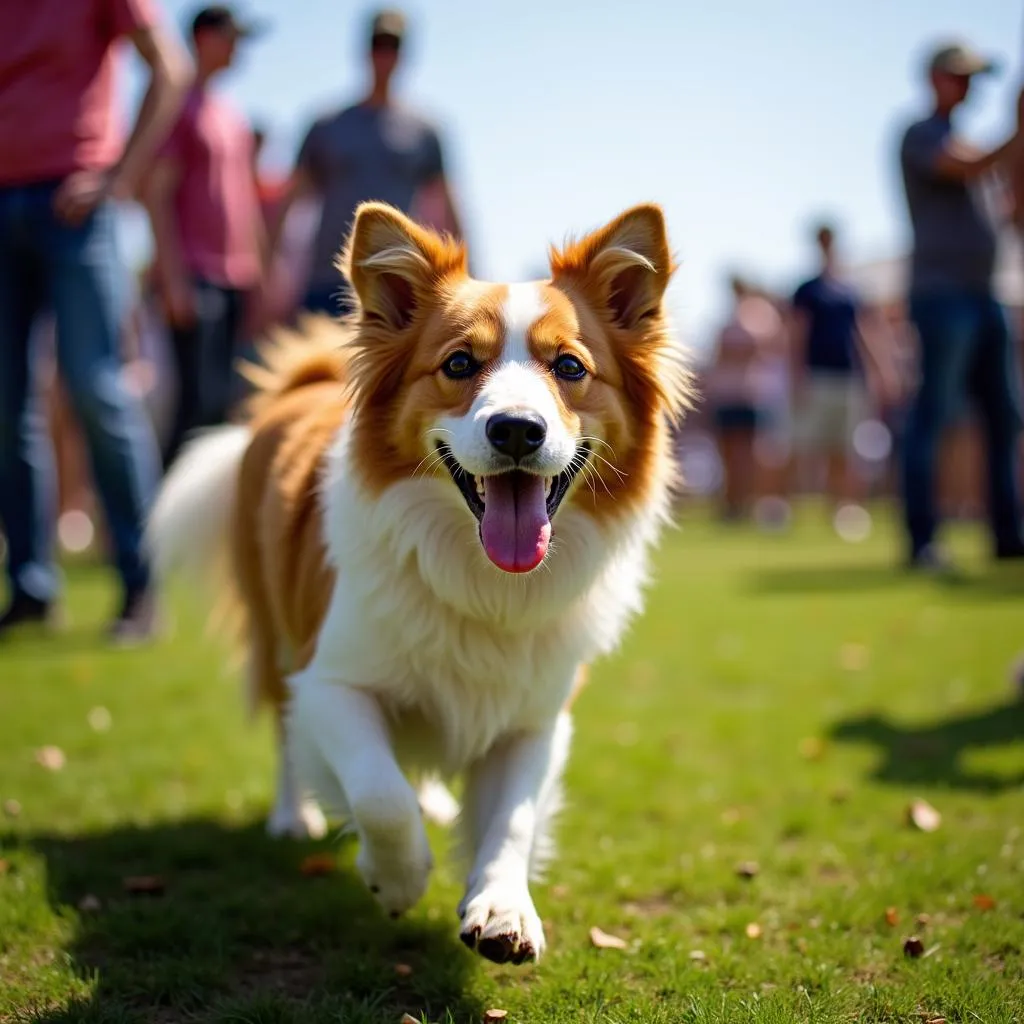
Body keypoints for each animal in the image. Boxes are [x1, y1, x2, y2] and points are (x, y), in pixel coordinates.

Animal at [148, 203, 692, 962]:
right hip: (273, 627)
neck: (480, 577)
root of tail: (305, 384)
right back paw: (294, 815)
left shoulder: (537, 716)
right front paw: (398, 877)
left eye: (570, 367)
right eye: (458, 363)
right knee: (287, 728)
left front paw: (502, 907)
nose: (518, 430)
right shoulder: (331, 680)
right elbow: (378, 792)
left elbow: (513, 819)